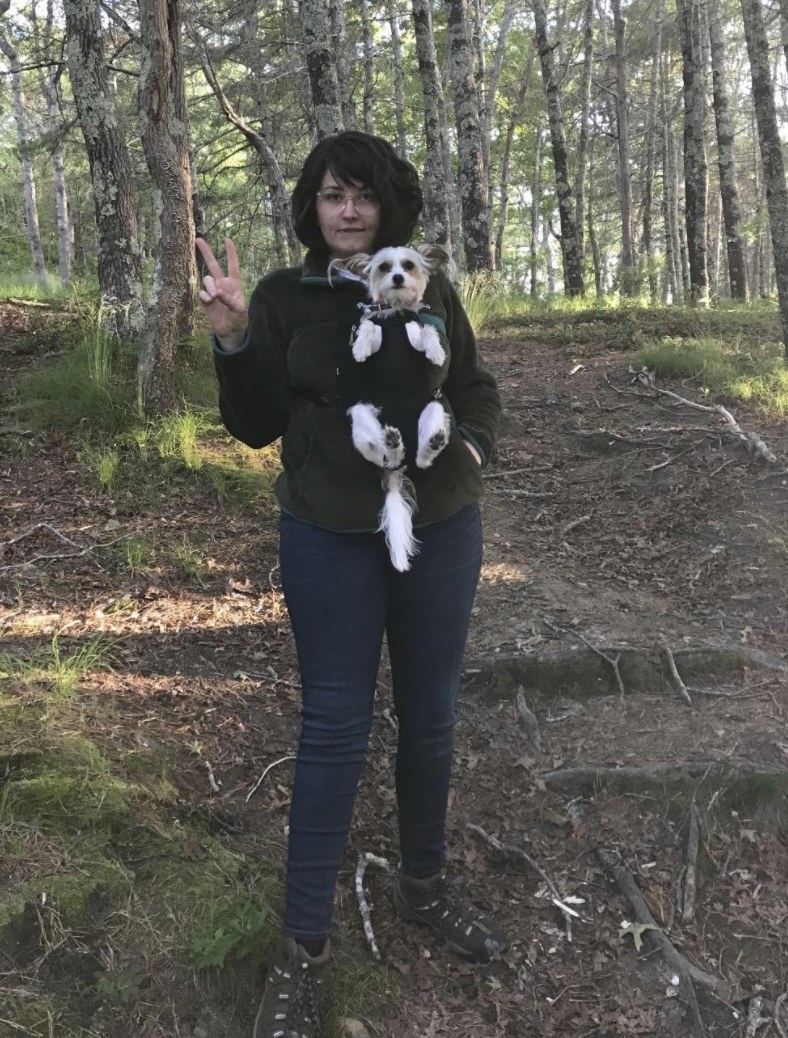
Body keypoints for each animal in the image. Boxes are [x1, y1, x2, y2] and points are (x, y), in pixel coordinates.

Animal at [332, 242, 452, 572]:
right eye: (385, 267)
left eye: (408, 266)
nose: (398, 278)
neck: (396, 313)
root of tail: (396, 475)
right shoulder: (375, 328)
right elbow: (368, 328)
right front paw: (360, 348)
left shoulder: (415, 329)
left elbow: (428, 332)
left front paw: (437, 353)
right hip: (362, 415)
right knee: (381, 455)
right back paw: (392, 442)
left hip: (434, 408)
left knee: (422, 460)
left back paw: (430, 444)